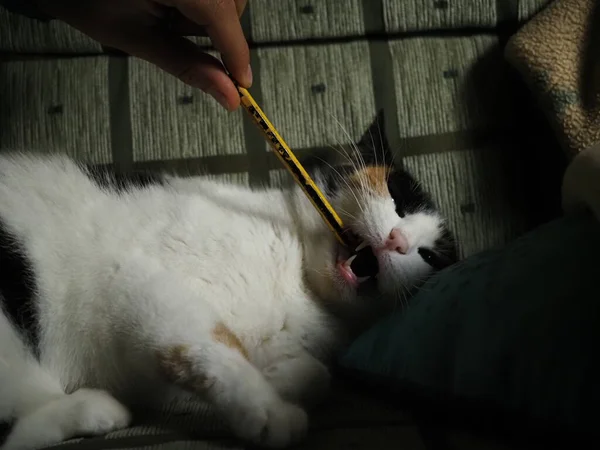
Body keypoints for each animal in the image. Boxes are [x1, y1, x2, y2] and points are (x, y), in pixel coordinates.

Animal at [0, 110, 454, 448]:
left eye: (429, 256)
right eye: (397, 197)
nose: (398, 241)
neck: (300, 282)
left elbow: (318, 375)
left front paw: (279, 381)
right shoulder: (140, 285)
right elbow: (207, 344)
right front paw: (266, 408)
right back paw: (93, 408)